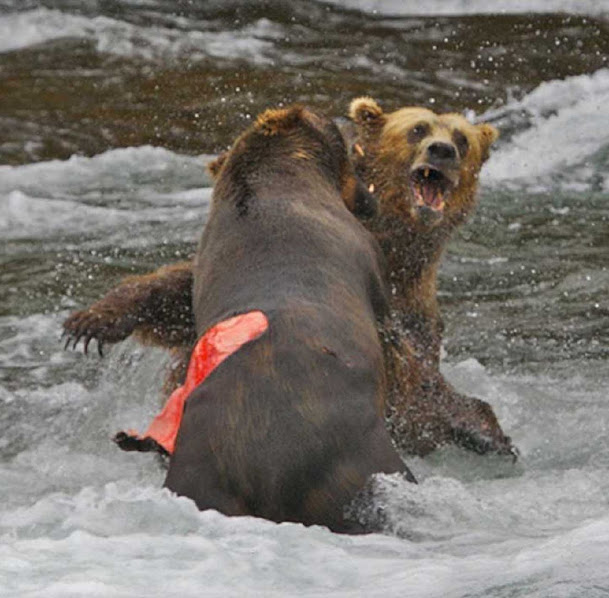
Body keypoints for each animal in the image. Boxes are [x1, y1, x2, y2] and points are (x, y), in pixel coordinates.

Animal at [63, 98, 512, 460]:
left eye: (462, 138)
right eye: (417, 129)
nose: (442, 151)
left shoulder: (410, 313)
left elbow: (414, 376)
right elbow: (172, 293)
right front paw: (89, 323)